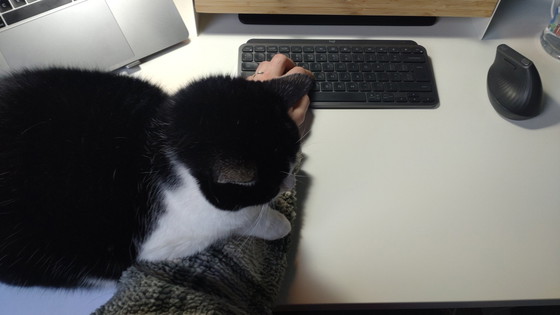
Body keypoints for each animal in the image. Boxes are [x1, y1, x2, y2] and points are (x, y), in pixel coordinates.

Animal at [0, 69, 316, 288]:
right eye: (274, 182)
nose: (289, 184)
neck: (160, 147)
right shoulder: (166, 239)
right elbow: (241, 219)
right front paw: (278, 223)